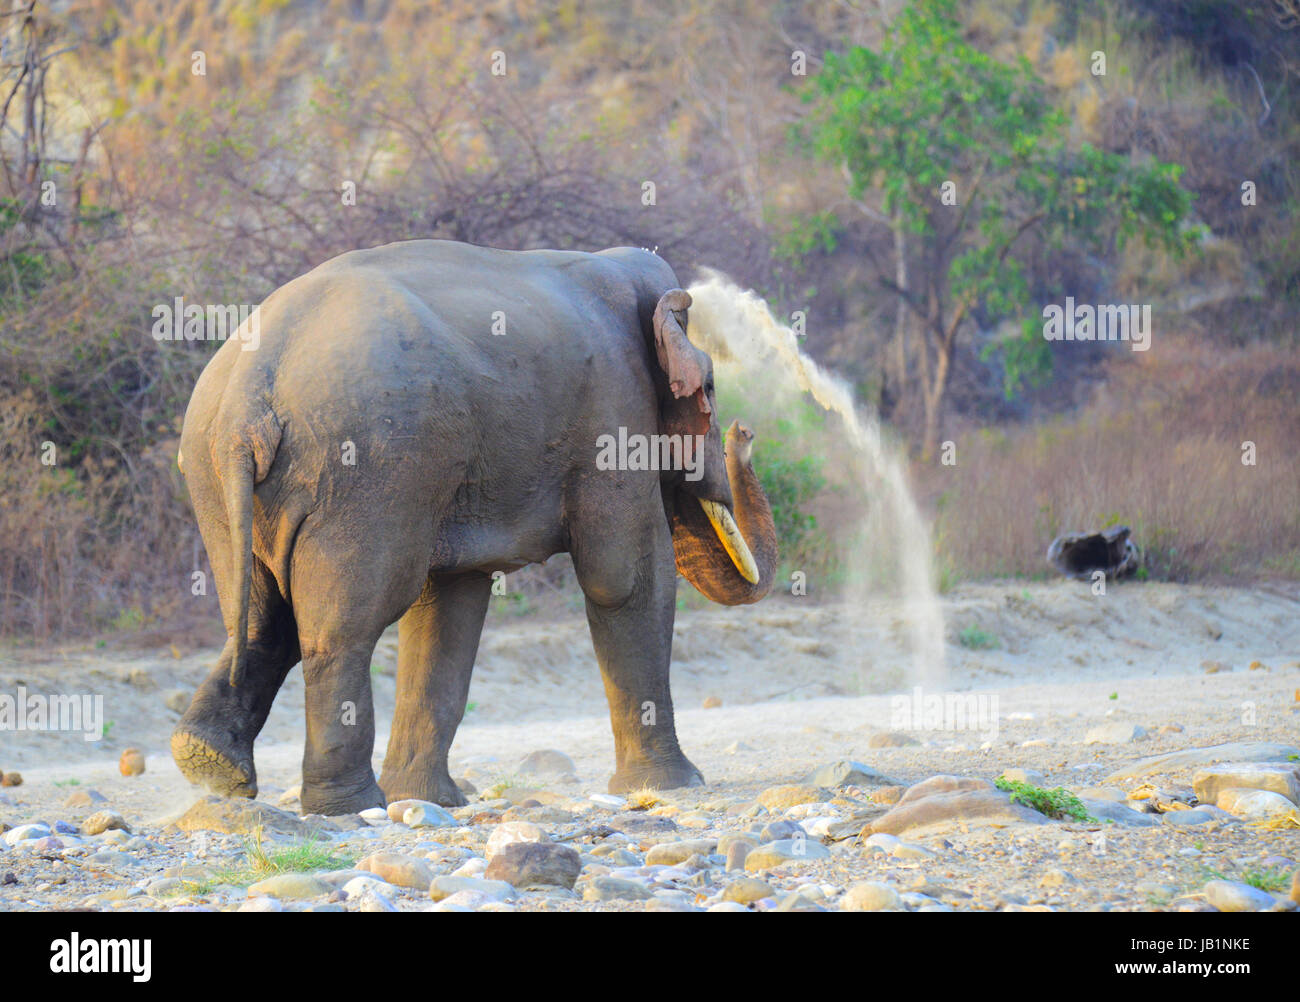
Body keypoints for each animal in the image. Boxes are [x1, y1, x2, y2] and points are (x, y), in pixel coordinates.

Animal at [176, 239, 774, 821]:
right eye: (711, 388)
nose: (744, 432)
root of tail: (249, 396)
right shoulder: (613, 414)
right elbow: (624, 579)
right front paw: (677, 784)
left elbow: (448, 605)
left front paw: (426, 800)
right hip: (367, 471)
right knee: (343, 628)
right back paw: (349, 806)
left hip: (220, 478)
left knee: (262, 618)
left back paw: (210, 764)